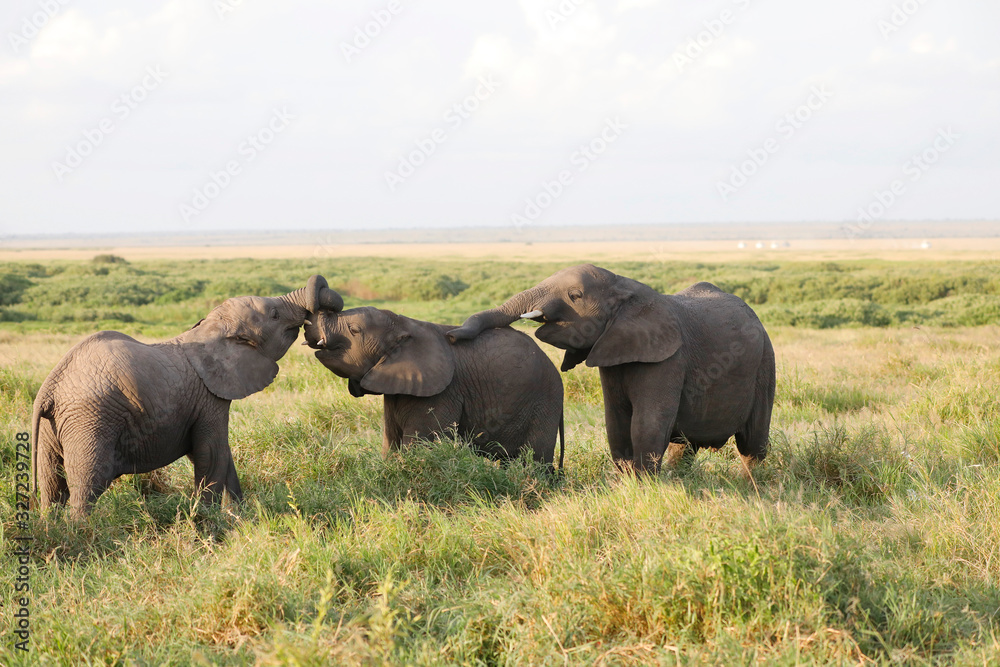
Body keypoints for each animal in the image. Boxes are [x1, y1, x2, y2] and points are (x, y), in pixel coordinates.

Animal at [31, 276, 344, 516]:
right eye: (275, 314)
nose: (315, 326)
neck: (209, 330)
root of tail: (50, 387)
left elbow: (220, 455)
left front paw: (240, 517)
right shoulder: (209, 398)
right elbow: (211, 453)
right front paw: (209, 522)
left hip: (54, 428)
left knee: (52, 487)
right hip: (91, 420)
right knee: (87, 485)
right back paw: (83, 533)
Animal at [304, 308, 564, 470]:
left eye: (354, 330)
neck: (404, 325)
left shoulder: (442, 393)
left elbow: (419, 448)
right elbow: (390, 446)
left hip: (544, 402)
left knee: (535, 460)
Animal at [450, 262, 776, 474]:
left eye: (575, 296)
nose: (452, 335)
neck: (625, 287)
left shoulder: (669, 359)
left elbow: (647, 423)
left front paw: (644, 486)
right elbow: (616, 422)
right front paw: (626, 481)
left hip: (765, 362)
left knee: (753, 444)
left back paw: (752, 485)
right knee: (685, 446)